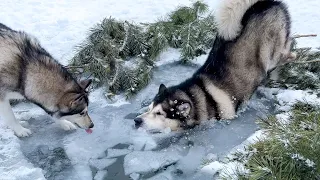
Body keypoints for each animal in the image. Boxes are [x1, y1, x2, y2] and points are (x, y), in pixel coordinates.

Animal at [134, 0, 296, 132]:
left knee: (286, 49)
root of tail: (267, 3)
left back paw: (291, 55)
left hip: (271, 53)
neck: (202, 98)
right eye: (149, 108)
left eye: (159, 113)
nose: (136, 120)